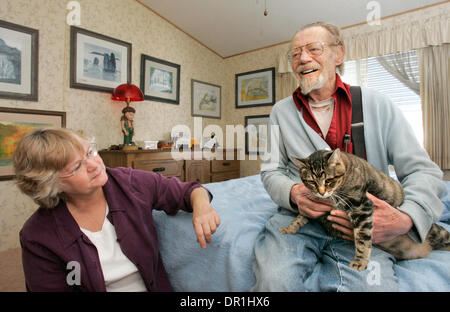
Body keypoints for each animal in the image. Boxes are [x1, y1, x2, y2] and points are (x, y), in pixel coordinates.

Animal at [282, 149, 450, 270]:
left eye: (329, 180)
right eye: (311, 182)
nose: (322, 192)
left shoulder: (362, 206)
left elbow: (362, 239)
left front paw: (360, 261)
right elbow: (300, 217)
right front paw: (289, 228)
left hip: (436, 231)